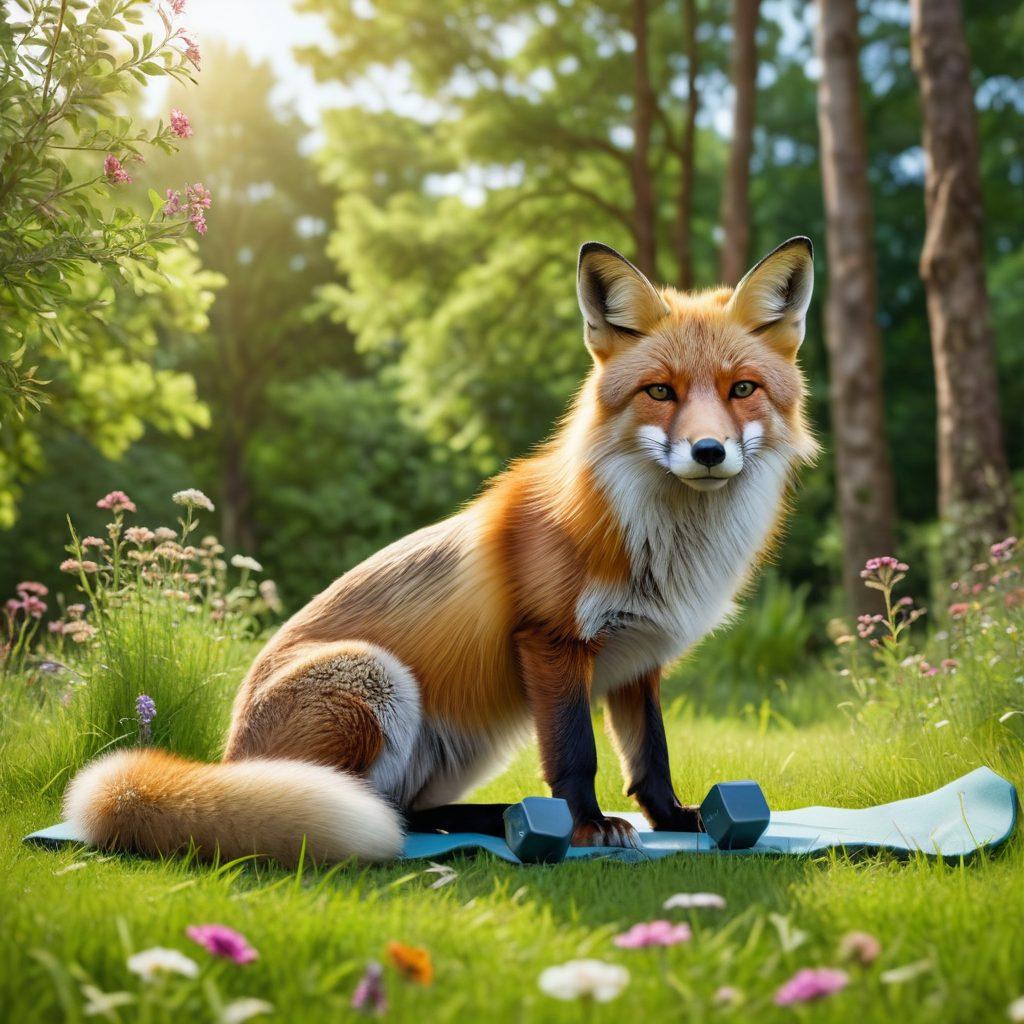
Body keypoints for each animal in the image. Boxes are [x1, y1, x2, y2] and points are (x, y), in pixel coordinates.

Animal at [64, 237, 817, 864]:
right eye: (660, 391)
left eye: (742, 389)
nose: (709, 451)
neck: (661, 545)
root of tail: (229, 759)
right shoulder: (551, 641)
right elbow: (577, 756)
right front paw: (585, 827)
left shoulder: (640, 659)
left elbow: (650, 758)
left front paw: (675, 819)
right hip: (378, 679)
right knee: (372, 809)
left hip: (472, 740)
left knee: (411, 810)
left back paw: (489, 819)